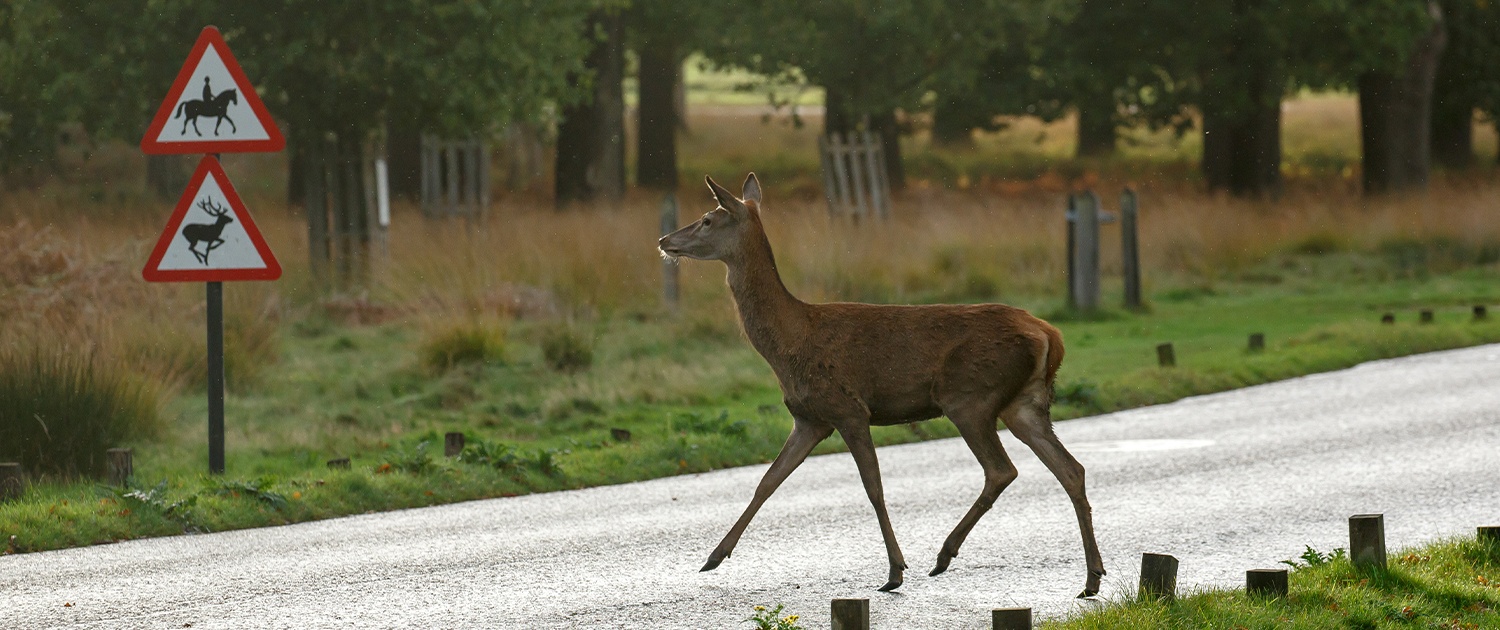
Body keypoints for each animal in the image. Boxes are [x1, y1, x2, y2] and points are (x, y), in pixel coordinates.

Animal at [657, 172, 1104, 597]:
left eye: (708, 218)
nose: (664, 240)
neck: (791, 341)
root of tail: (1049, 334)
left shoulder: (848, 408)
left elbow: (873, 488)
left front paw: (895, 572)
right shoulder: (810, 418)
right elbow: (767, 481)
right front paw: (714, 556)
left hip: (970, 397)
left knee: (1002, 470)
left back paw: (944, 555)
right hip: (1025, 403)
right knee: (1071, 469)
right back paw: (1091, 577)